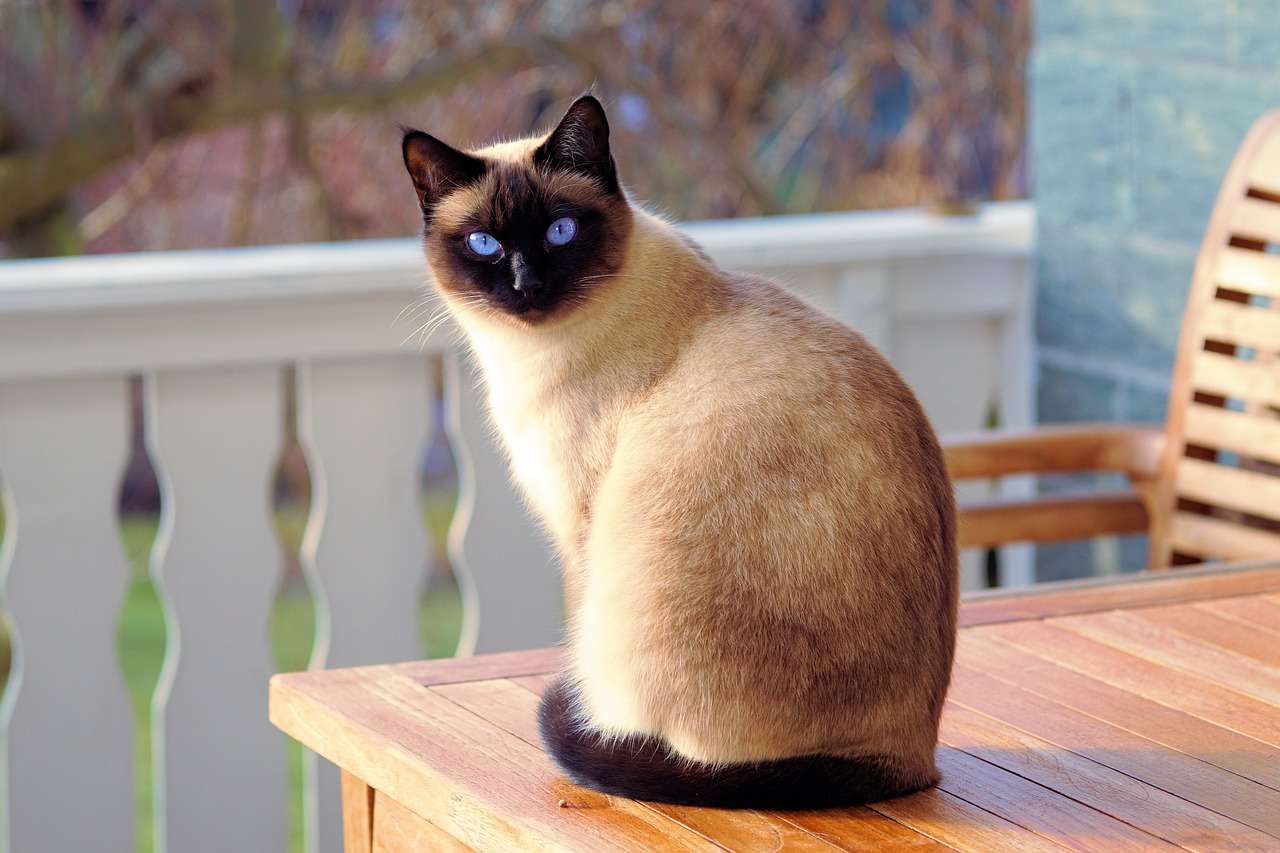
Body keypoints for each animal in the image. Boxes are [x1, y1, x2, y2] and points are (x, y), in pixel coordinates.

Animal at [404, 96, 957, 809]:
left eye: (560, 231)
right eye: (484, 244)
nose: (527, 284)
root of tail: (913, 761)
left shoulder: (579, 527)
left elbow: (577, 634)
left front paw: (585, 711)